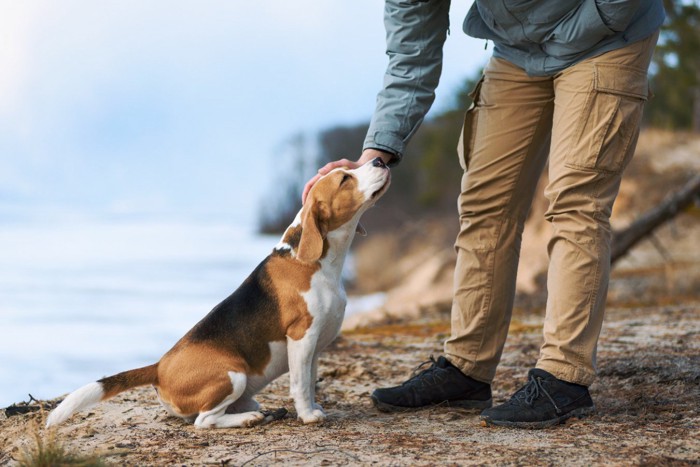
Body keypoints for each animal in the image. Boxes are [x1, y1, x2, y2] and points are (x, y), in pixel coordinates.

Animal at [46, 159, 392, 430]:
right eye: (344, 178)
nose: (379, 161)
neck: (317, 262)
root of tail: (159, 367)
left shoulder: (314, 346)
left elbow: (309, 380)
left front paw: (313, 408)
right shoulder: (301, 337)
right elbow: (300, 385)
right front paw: (308, 415)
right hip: (233, 375)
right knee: (204, 421)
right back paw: (247, 419)